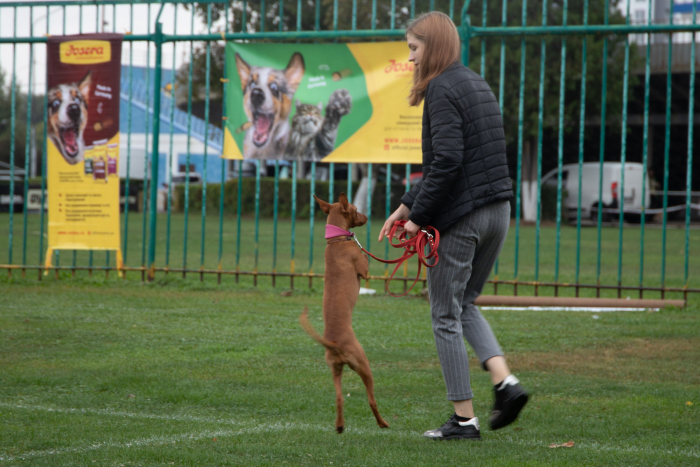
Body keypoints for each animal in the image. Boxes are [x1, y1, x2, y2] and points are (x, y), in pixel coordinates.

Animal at [300, 192, 392, 434]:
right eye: (356, 209)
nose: (367, 217)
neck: (336, 241)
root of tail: (333, 342)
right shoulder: (364, 270)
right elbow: (365, 258)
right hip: (364, 365)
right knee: (371, 400)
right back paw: (382, 423)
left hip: (335, 370)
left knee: (339, 398)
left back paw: (340, 426)